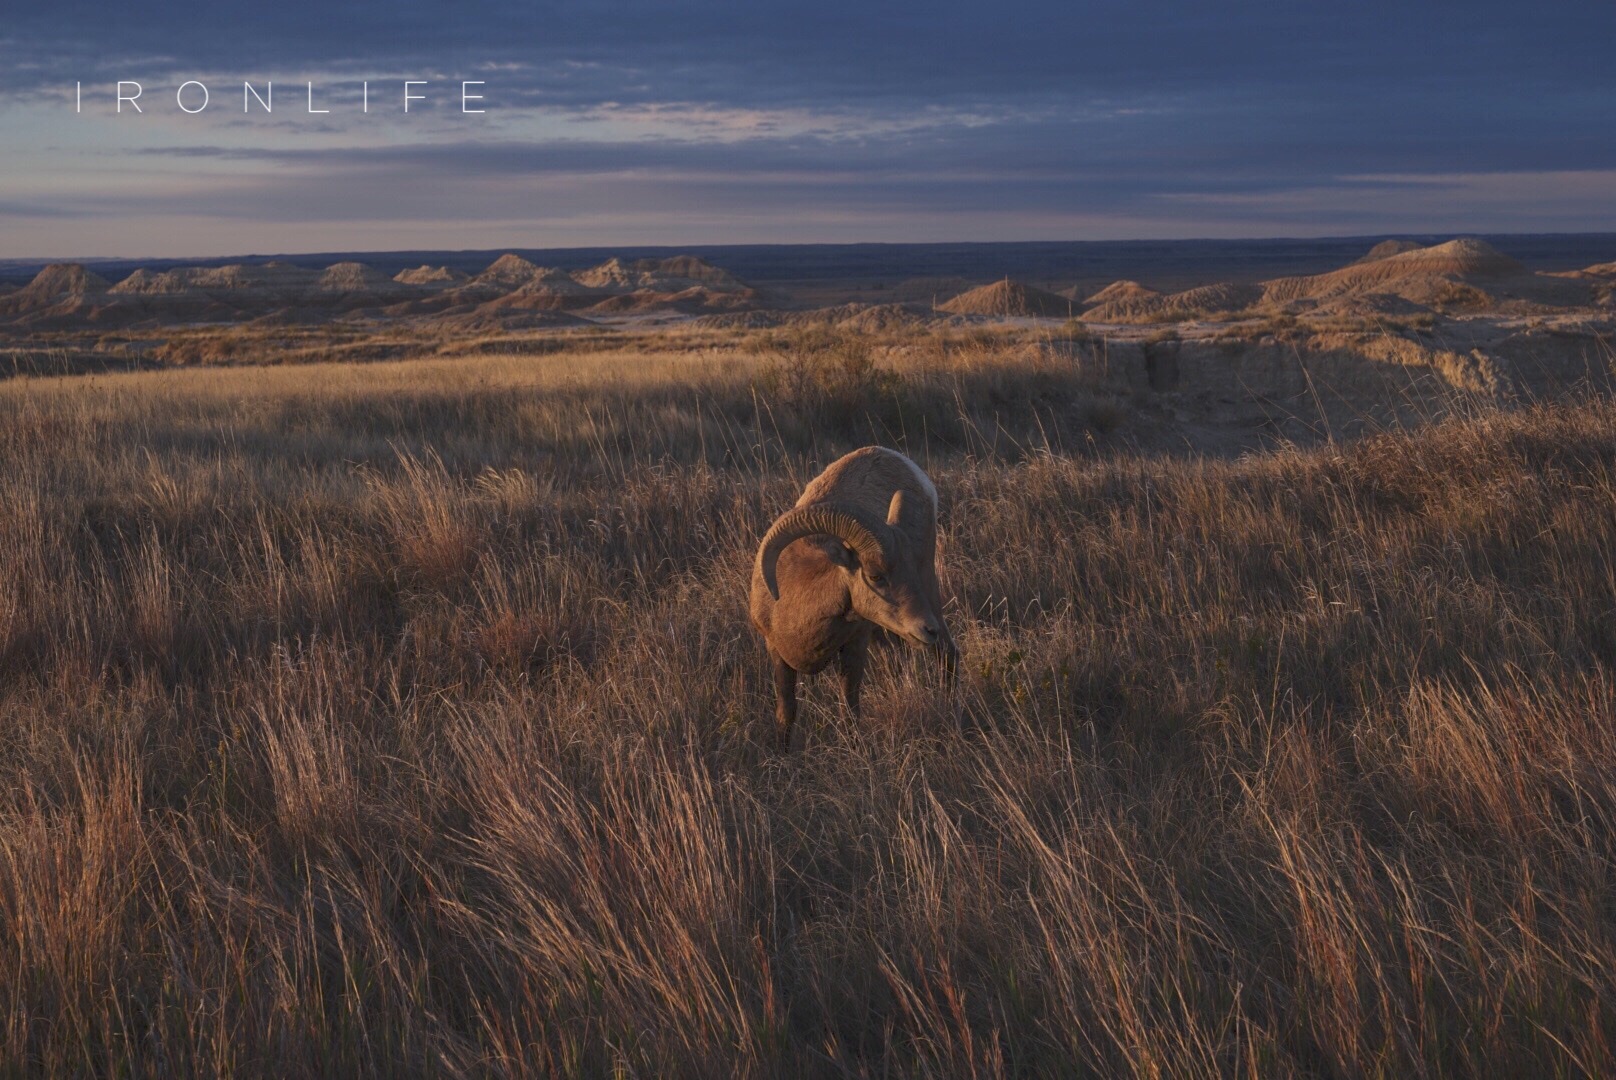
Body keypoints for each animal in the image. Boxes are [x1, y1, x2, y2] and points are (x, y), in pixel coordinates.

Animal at [746, 446, 950, 750]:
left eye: (910, 569)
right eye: (875, 576)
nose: (927, 629)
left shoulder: (855, 646)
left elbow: (850, 712)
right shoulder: (777, 652)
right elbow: (786, 713)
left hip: (929, 595)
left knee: (949, 653)